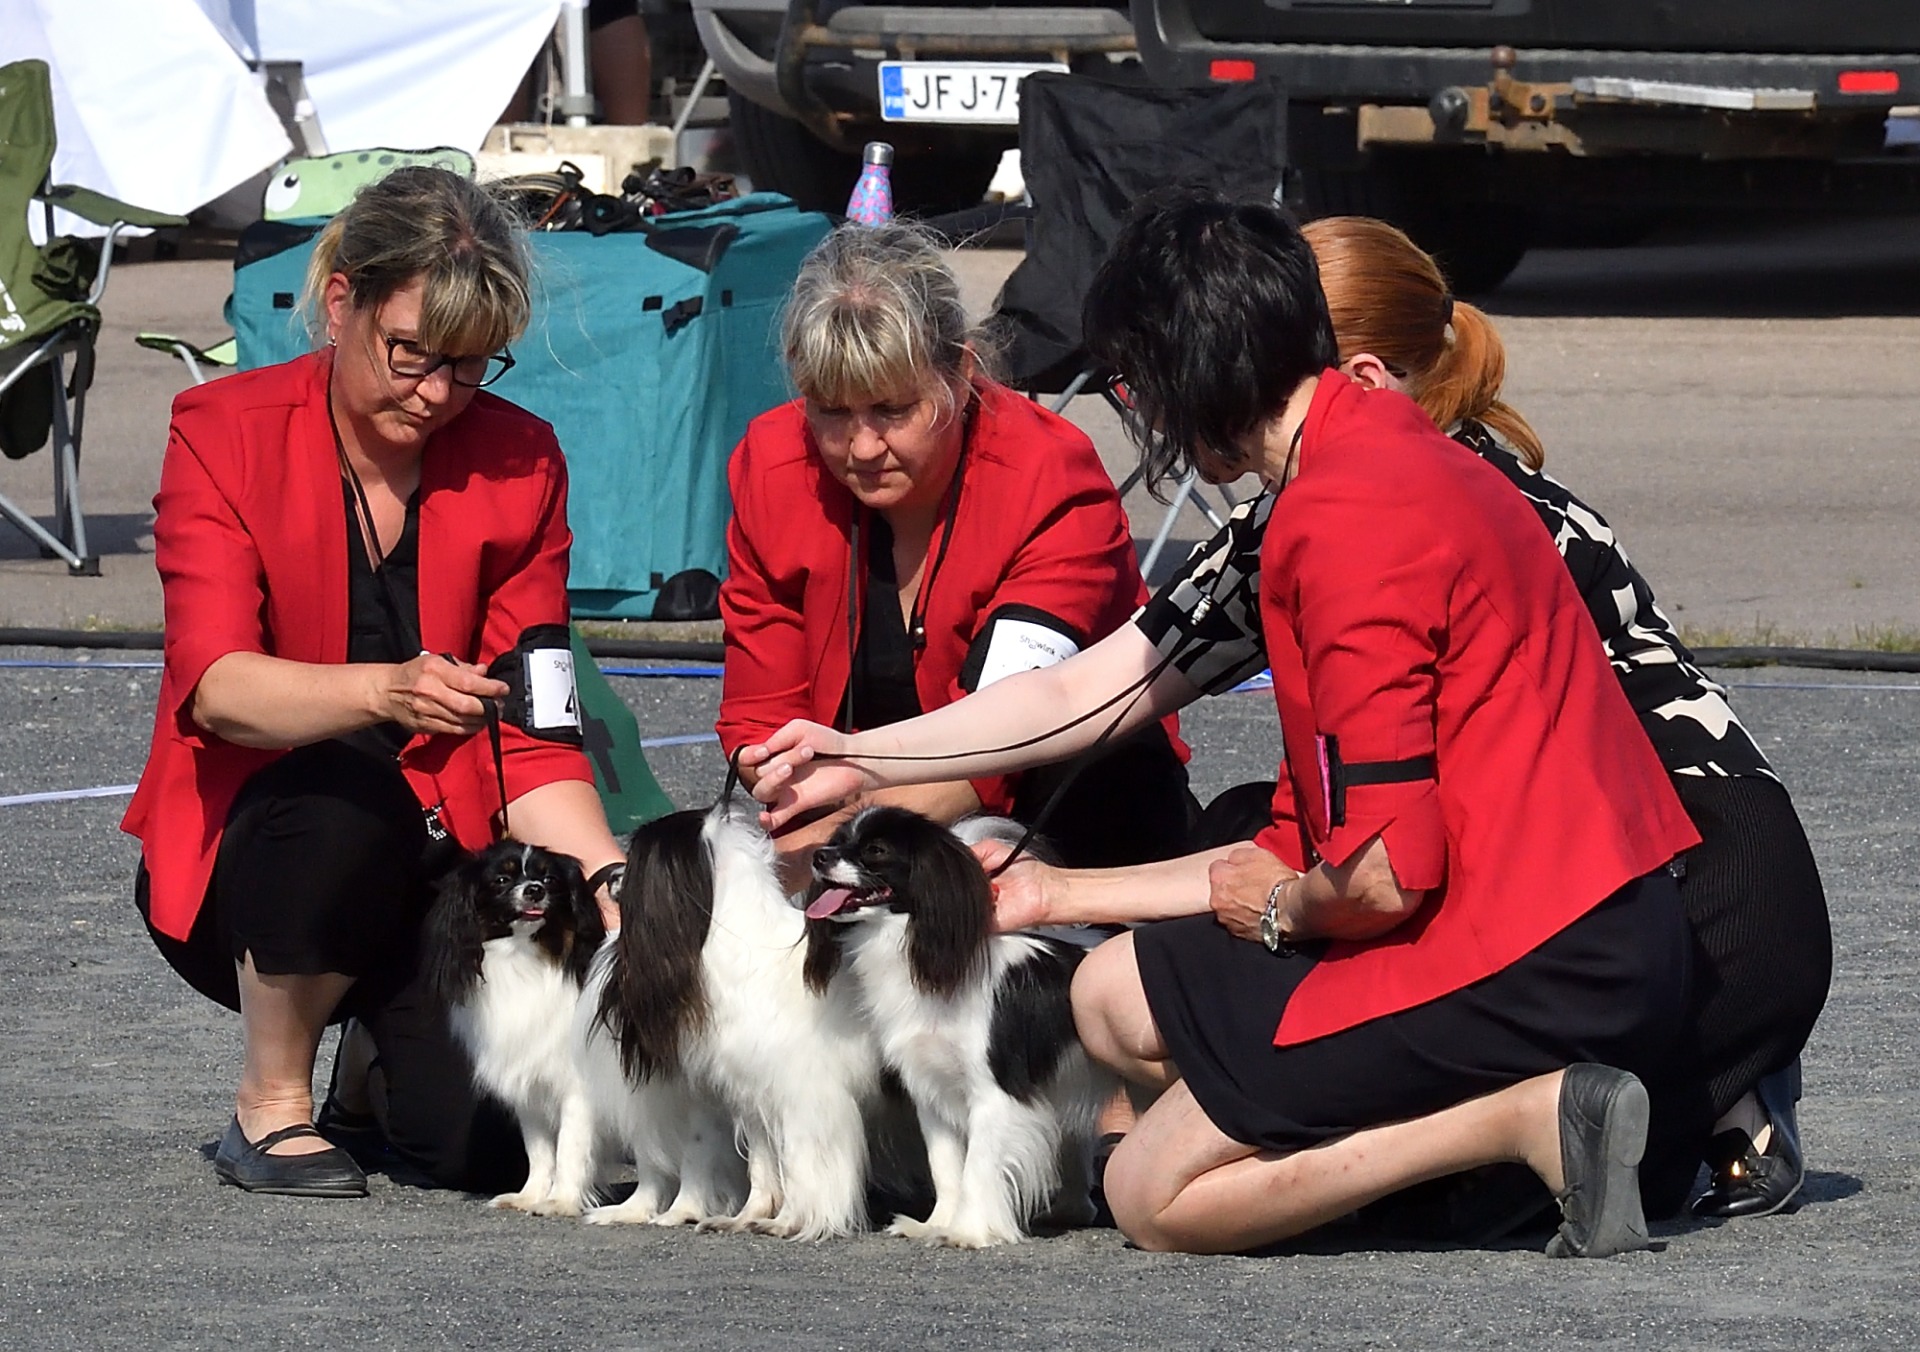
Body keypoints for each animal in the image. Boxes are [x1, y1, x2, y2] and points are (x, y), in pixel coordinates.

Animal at [422, 841, 609, 1215]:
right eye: (502, 880)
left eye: (549, 880)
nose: (534, 890)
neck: (522, 957)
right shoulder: (529, 1087)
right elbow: (538, 1150)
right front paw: (530, 1196)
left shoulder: (578, 1089)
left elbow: (570, 1147)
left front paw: (560, 1201)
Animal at [592, 802, 880, 1239]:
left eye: (637, 854)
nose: (610, 875)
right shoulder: (753, 1094)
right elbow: (764, 1165)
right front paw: (748, 1216)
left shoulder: (806, 1098)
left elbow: (801, 1166)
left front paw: (792, 1222)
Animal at [805, 807, 1118, 1248]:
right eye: (839, 841)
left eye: (876, 850)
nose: (819, 855)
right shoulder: (930, 1093)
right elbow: (946, 1167)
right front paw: (935, 1224)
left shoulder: (994, 1096)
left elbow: (979, 1168)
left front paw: (969, 1232)